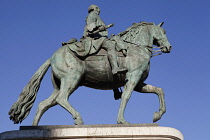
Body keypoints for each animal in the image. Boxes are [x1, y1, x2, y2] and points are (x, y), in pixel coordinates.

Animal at [9, 21, 171, 126]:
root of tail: (53, 56)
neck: (135, 48)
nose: (169, 47)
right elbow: (126, 97)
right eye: (164, 32)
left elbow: (159, 90)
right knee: (62, 98)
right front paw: (122, 121)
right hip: (72, 79)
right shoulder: (133, 77)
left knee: (44, 104)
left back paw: (34, 127)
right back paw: (78, 119)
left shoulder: (138, 82)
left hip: (60, 85)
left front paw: (157, 115)